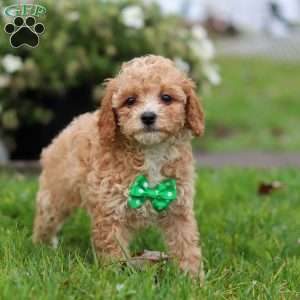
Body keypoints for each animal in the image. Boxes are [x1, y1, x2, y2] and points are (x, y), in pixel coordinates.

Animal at [33, 54, 206, 282]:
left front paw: (193, 280)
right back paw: (42, 247)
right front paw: (116, 279)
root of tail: (71, 125)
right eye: (130, 100)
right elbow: (113, 251)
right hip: (57, 193)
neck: (150, 152)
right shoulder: (110, 212)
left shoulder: (178, 206)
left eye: (167, 97)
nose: (148, 116)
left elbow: (186, 245)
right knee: (46, 217)